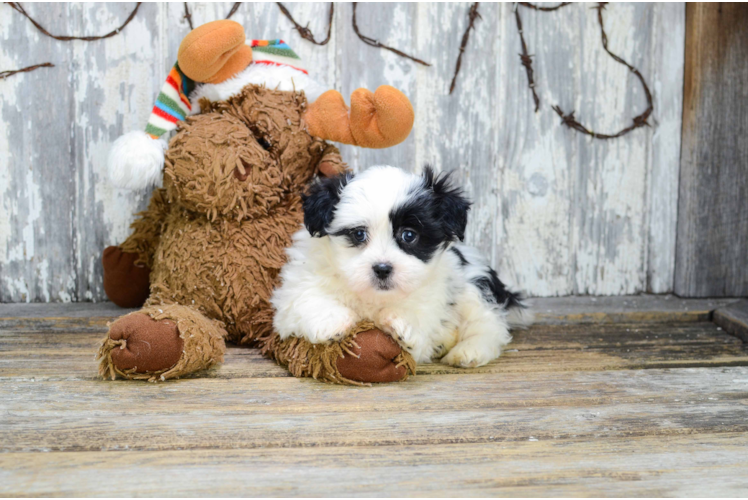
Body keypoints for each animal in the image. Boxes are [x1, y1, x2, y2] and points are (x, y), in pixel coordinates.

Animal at [272, 166, 528, 366]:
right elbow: (307, 297)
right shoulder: (299, 283)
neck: (374, 297)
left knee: (488, 325)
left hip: (473, 283)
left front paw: (403, 324)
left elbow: (420, 317)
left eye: (409, 235)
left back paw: (468, 351)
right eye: (358, 234)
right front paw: (333, 322)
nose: (382, 268)